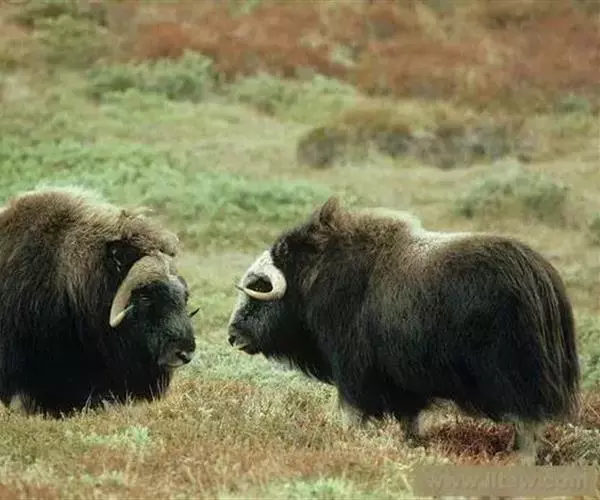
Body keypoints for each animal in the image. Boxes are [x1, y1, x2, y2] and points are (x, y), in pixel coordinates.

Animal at [227, 196, 580, 464]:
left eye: (257, 288)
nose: (232, 336)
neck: (310, 280)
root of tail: (542, 278)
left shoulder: (353, 371)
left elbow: (353, 412)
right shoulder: (403, 383)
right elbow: (410, 418)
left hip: (515, 374)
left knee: (528, 422)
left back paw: (520, 458)